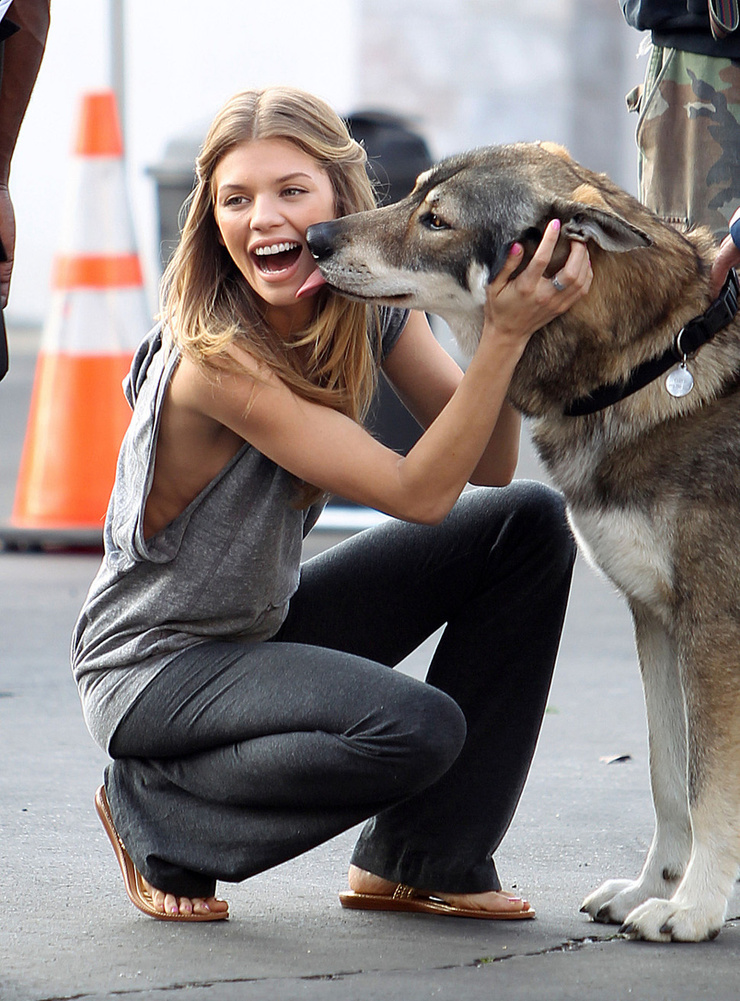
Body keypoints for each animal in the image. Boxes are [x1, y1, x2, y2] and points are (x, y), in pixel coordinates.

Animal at [304, 143, 740, 944]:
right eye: (412, 194)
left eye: (436, 221)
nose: (315, 237)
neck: (655, 362)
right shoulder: (657, 621)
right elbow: (668, 777)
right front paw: (652, 889)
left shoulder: (712, 627)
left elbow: (706, 784)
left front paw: (694, 907)